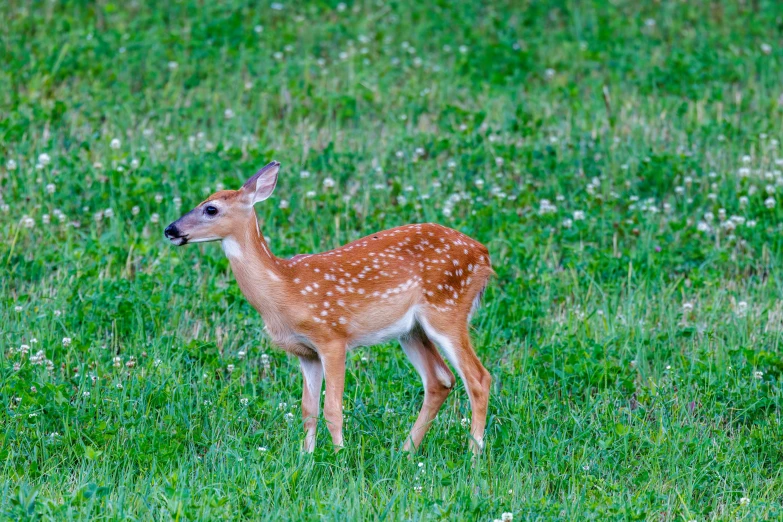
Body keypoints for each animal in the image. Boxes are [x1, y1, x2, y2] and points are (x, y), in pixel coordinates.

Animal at [165, 161, 494, 450]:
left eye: (211, 209)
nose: (170, 230)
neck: (285, 288)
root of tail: (483, 254)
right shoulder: (306, 352)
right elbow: (307, 410)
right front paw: (306, 457)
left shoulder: (333, 337)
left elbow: (332, 409)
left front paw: (339, 458)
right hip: (411, 331)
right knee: (440, 380)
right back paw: (406, 451)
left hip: (448, 307)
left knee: (478, 378)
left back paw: (473, 454)